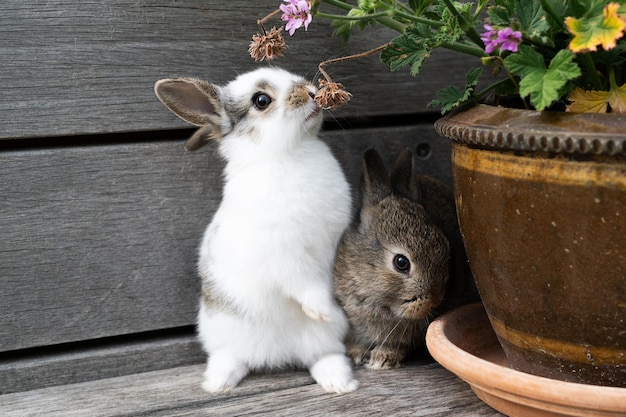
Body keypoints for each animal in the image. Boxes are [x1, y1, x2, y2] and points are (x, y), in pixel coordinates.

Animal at [155, 68, 356, 394]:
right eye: (261, 100)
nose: (312, 93)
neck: (287, 153)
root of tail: (275, 355)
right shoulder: (286, 255)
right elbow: (306, 285)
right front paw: (323, 309)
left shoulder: (331, 241)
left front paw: (328, 310)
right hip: (222, 330)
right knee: (230, 357)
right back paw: (217, 383)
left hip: (324, 340)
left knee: (323, 356)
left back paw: (339, 382)